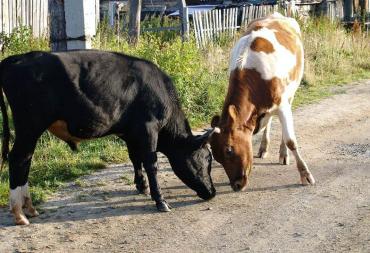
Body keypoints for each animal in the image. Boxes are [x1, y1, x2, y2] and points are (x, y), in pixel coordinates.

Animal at [0, 50, 217, 225]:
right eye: (205, 160)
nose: (212, 192)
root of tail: (18, 57)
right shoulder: (149, 128)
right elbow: (151, 163)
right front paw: (160, 200)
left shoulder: (130, 132)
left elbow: (135, 158)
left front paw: (142, 186)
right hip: (30, 126)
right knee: (19, 159)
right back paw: (20, 213)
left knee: (25, 160)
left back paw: (29, 208)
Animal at [211, 11, 316, 190]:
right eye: (216, 157)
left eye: (229, 150)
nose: (236, 185)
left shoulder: (282, 105)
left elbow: (290, 140)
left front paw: (305, 174)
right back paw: (264, 147)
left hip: (291, 92)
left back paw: (283, 153)